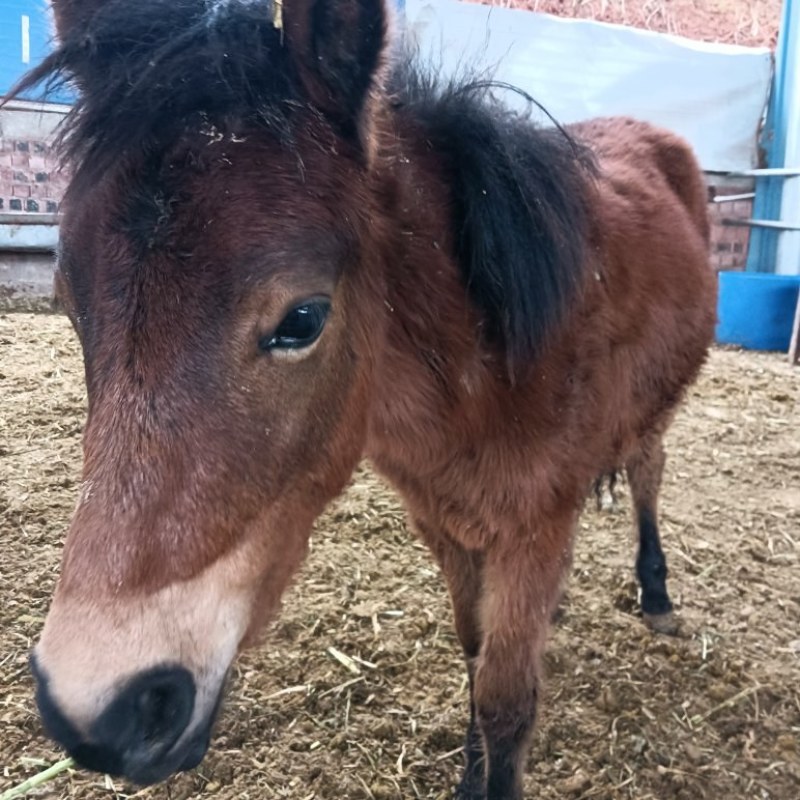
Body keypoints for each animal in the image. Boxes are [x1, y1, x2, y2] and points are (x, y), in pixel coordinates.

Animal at [9, 0, 717, 797]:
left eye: (302, 320)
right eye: (71, 305)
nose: (97, 713)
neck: (492, 368)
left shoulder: (533, 529)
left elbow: (506, 705)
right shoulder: (447, 524)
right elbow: (476, 660)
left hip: (654, 414)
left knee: (649, 472)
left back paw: (656, 595)